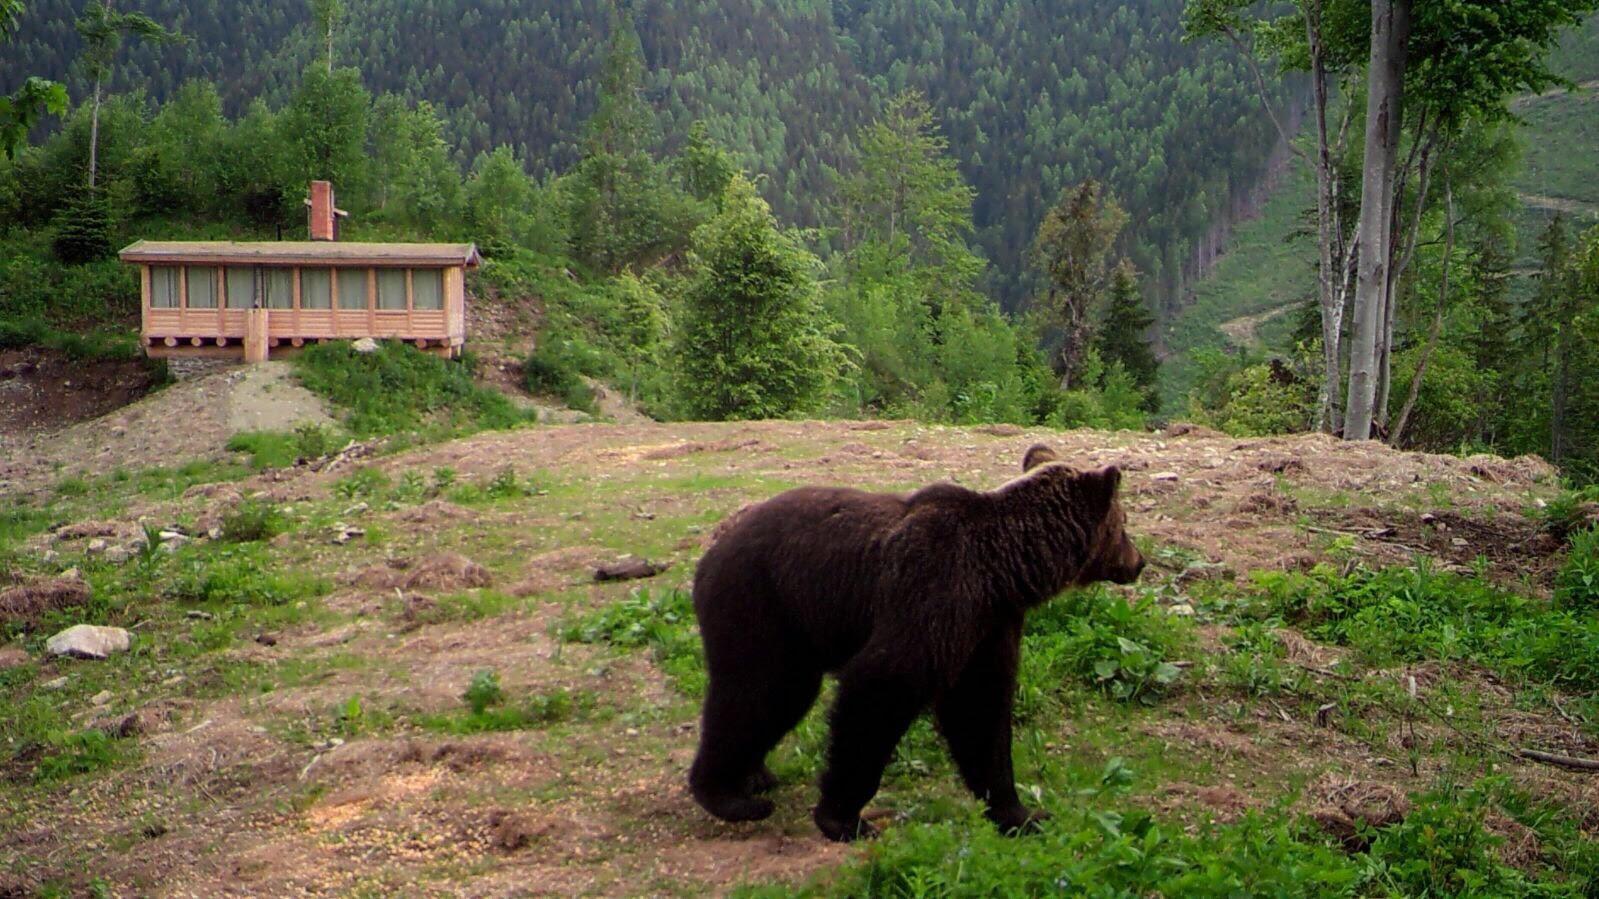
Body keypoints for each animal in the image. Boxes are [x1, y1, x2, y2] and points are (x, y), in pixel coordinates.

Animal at [693, 444, 1144, 844]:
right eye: (1123, 523)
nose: (1138, 562)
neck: (1001, 571)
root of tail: (711, 552)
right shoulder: (931, 588)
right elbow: (882, 684)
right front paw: (844, 818)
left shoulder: (989, 625)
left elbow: (981, 711)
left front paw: (1021, 814)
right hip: (761, 604)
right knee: (760, 691)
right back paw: (728, 795)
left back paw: (755, 775)